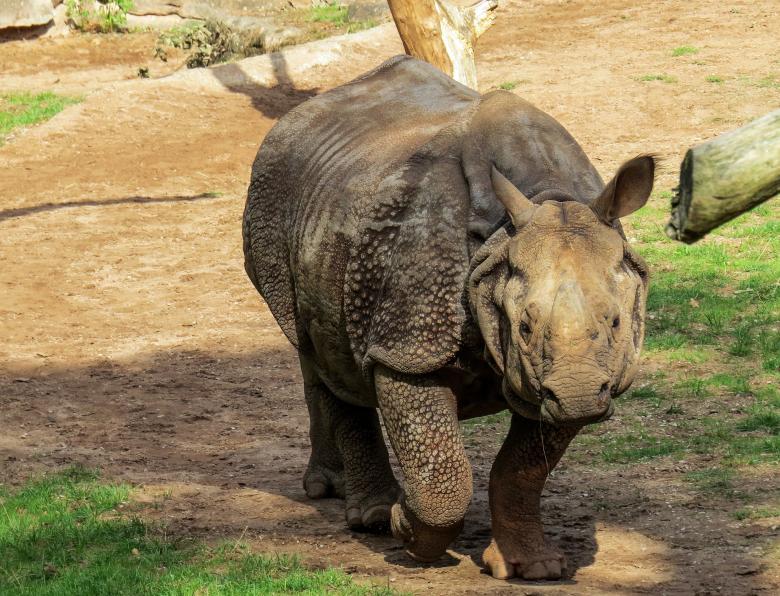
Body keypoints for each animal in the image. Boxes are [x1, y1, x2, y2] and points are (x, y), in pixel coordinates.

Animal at [243, 55, 653, 580]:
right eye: (523, 327)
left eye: (616, 323)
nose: (578, 398)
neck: (545, 198)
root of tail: (293, 119)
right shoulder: (408, 346)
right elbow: (443, 479)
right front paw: (404, 527)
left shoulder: (564, 375)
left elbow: (523, 470)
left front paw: (533, 568)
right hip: (277, 203)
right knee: (323, 350)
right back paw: (372, 516)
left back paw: (334, 490)